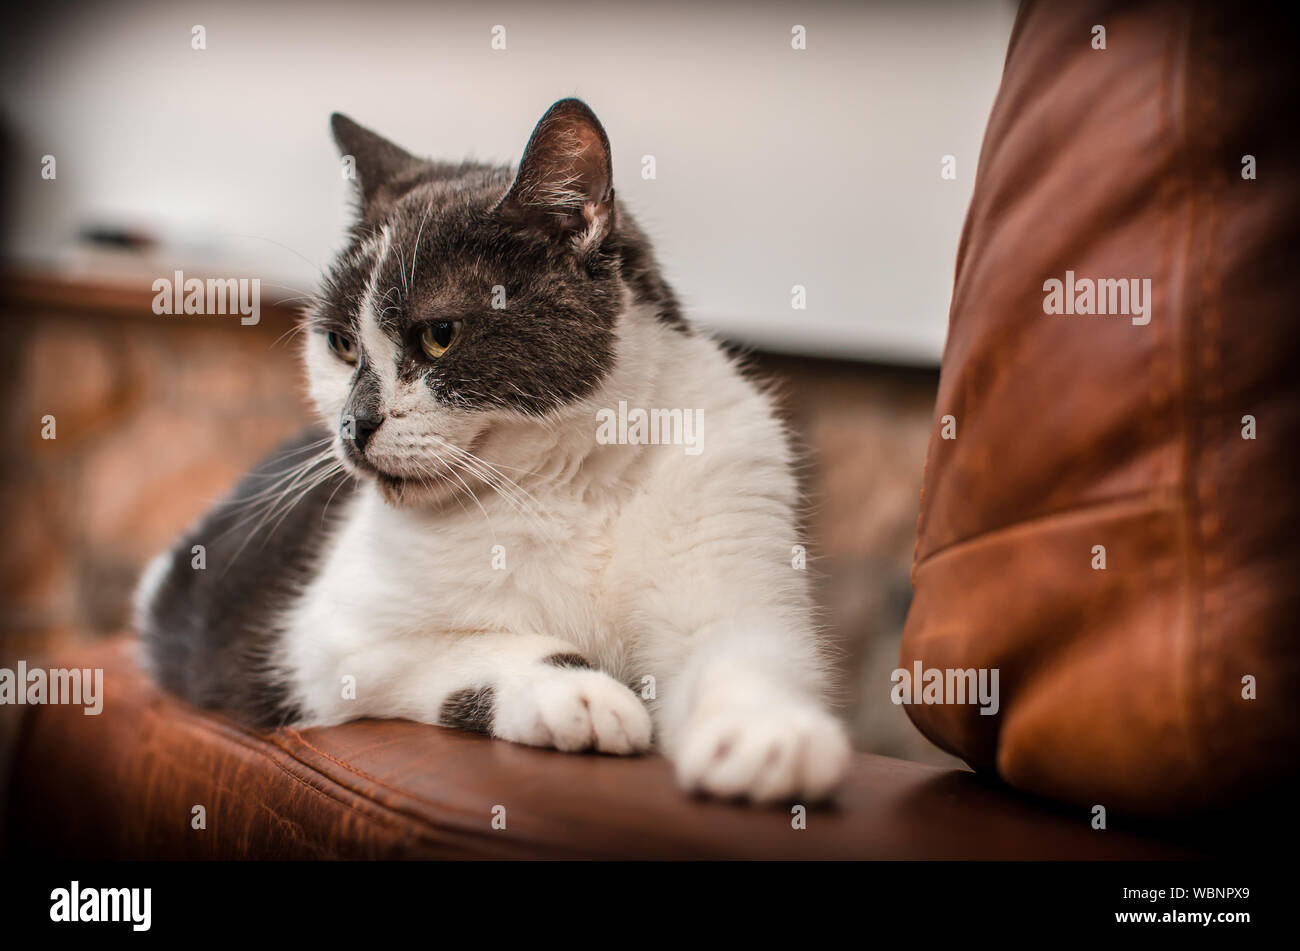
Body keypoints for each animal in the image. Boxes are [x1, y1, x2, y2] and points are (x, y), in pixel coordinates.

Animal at [137, 98, 847, 800]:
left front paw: (768, 736)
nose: (353, 425)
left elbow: (745, 654)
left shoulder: (738, 574)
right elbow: (487, 643)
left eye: (440, 336)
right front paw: (578, 694)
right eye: (340, 344)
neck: (574, 484)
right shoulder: (323, 642)